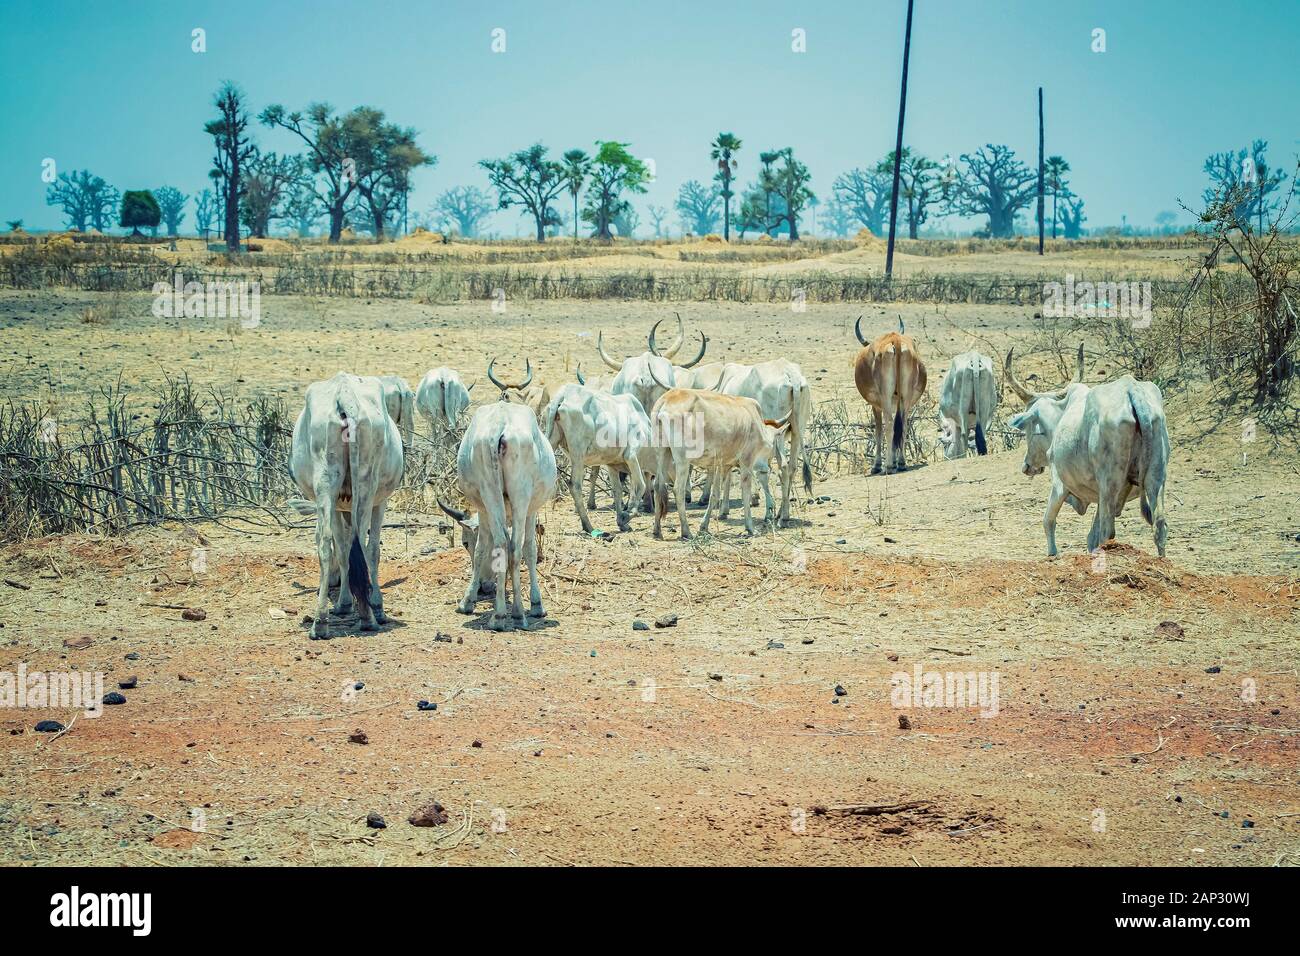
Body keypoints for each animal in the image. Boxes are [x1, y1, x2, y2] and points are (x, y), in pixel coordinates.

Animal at [291, 371, 403, 634]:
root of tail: (345, 394)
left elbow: (342, 549)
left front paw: (346, 602)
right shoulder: (378, 502)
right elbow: (364, 551)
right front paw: (370, 604)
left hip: (328, 483)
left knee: (327, 542)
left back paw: (322, 621)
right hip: (364, 483)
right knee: (356, 543)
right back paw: (365, 616)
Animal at [439, 400, 556, 632]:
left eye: (464, 543)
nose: (484, 587)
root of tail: (501, 426)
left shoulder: (485, 511)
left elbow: (482, 549)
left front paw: (467, 601)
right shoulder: (530, 510)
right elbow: (528, 550)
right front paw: (536, 605)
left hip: (492, 493)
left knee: (505, 544)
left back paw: (504, 616)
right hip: (518, 495)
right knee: (512, 547)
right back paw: (513, 614)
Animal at [543, 382, 655, 535]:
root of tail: (563, 395)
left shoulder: (612, 464)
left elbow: (617, 490)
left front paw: (622, 522)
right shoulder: (631, 456)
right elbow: (640, 486)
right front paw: (627, 516)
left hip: (553, 442)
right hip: (578, 454)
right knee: (575, 485)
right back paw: (588, 526)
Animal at [852, 317, 925, 476]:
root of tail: (895, 340)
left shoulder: (876, 406)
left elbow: (878, 431)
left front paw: (877, 465)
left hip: (885, 398)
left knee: (890, 425)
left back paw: (889, 466)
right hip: (905, 397)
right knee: (903, 425)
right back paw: (902, 463)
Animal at [1003, 371, 1170, 554]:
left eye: (1029, 429)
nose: (1026, 466)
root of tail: (1132, 390)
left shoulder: (1059, 484)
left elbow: (1048, 520)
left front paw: (1053, 553)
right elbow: (1091, 537)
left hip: (1109, 483)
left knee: (1107, 531)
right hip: (1155, 477)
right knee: (1159, 526)